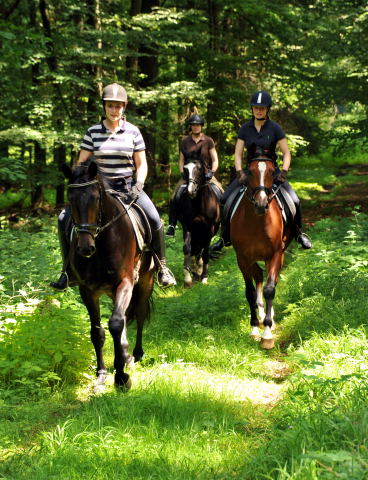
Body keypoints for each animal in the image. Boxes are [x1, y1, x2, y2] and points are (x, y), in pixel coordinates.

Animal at [62, 161, 155, 390]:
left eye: (96, 198)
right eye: (71, 198)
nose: (85, 247)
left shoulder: (126, 282)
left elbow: (115, 323)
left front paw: (121, 377)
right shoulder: (87, 290)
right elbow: (98, 332)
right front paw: (102, 374)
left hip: (145, 281)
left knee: (138, 314)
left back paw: (136, 355)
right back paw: (126, 355)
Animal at [230, 160, 294, 348]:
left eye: (272, 172)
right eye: (250, 172)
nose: (261, 204)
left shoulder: (274, 254)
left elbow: (270, 289)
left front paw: (267, 333)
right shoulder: (243, 258)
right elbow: (250, 292)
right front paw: (254, 328)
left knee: (271, 280)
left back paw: (269, 317)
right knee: (258, 275)